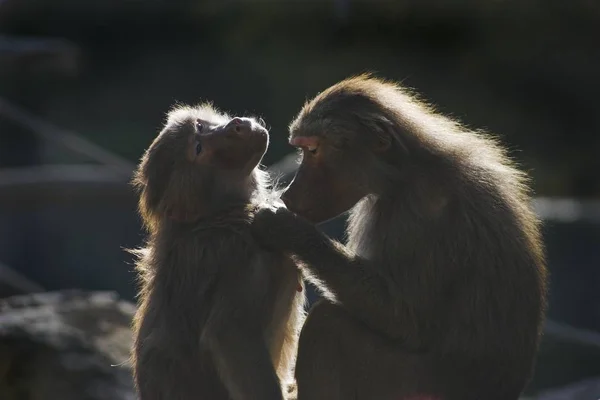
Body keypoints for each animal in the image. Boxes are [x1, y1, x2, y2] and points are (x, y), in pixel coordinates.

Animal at [127, 103, 304, 400]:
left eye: (200, 125)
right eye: (198, 148)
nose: (235, 124)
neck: (216, 214)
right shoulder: (244, 248)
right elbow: (229, 334)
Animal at [252, 76, 548, 400]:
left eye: (313, 150)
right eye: (303, 150)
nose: (288, 194)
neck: (408, 169)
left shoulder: (420, 213)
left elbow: (403, 319)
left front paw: (284, 227)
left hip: (413, 386)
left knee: (328, 324)